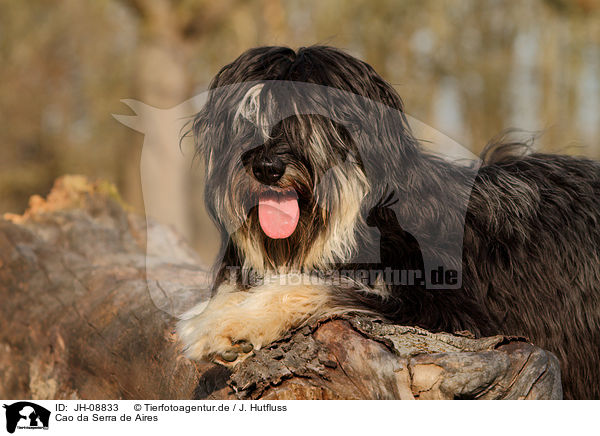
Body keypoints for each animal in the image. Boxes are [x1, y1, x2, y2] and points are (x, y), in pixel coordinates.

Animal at [177, 46, 600, 400]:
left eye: (309, 119)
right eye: (247, 120)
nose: (266, 167)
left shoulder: (453, 312)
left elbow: (320, 284)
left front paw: (226, 324)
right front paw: (217, 313)